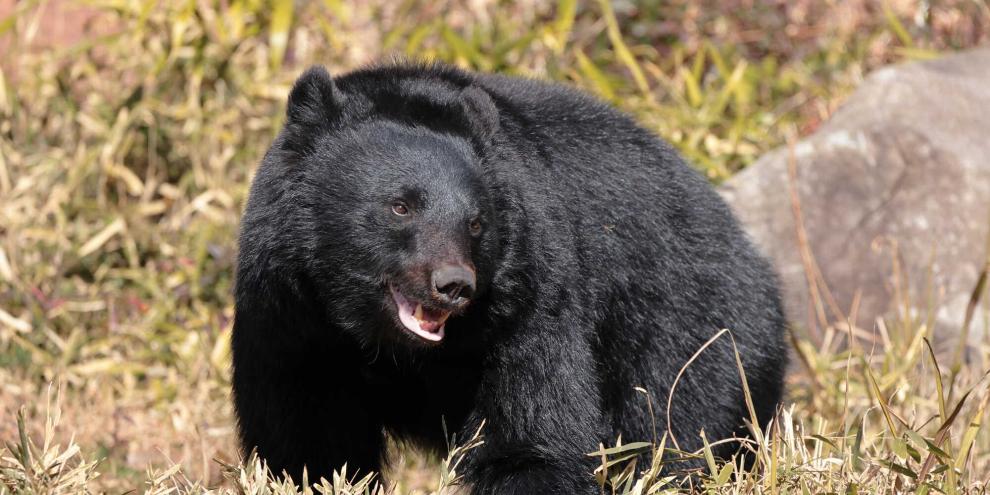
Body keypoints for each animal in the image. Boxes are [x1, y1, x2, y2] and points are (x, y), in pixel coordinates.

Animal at [231, 62, 787, 494]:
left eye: (477, 222)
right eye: (400, 206)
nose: (454, 285)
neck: (385, 344)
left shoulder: (528, 301)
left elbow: (531, 437)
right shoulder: (292, 321)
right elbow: (308, 442)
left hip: (693, 335)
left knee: (682, 430)